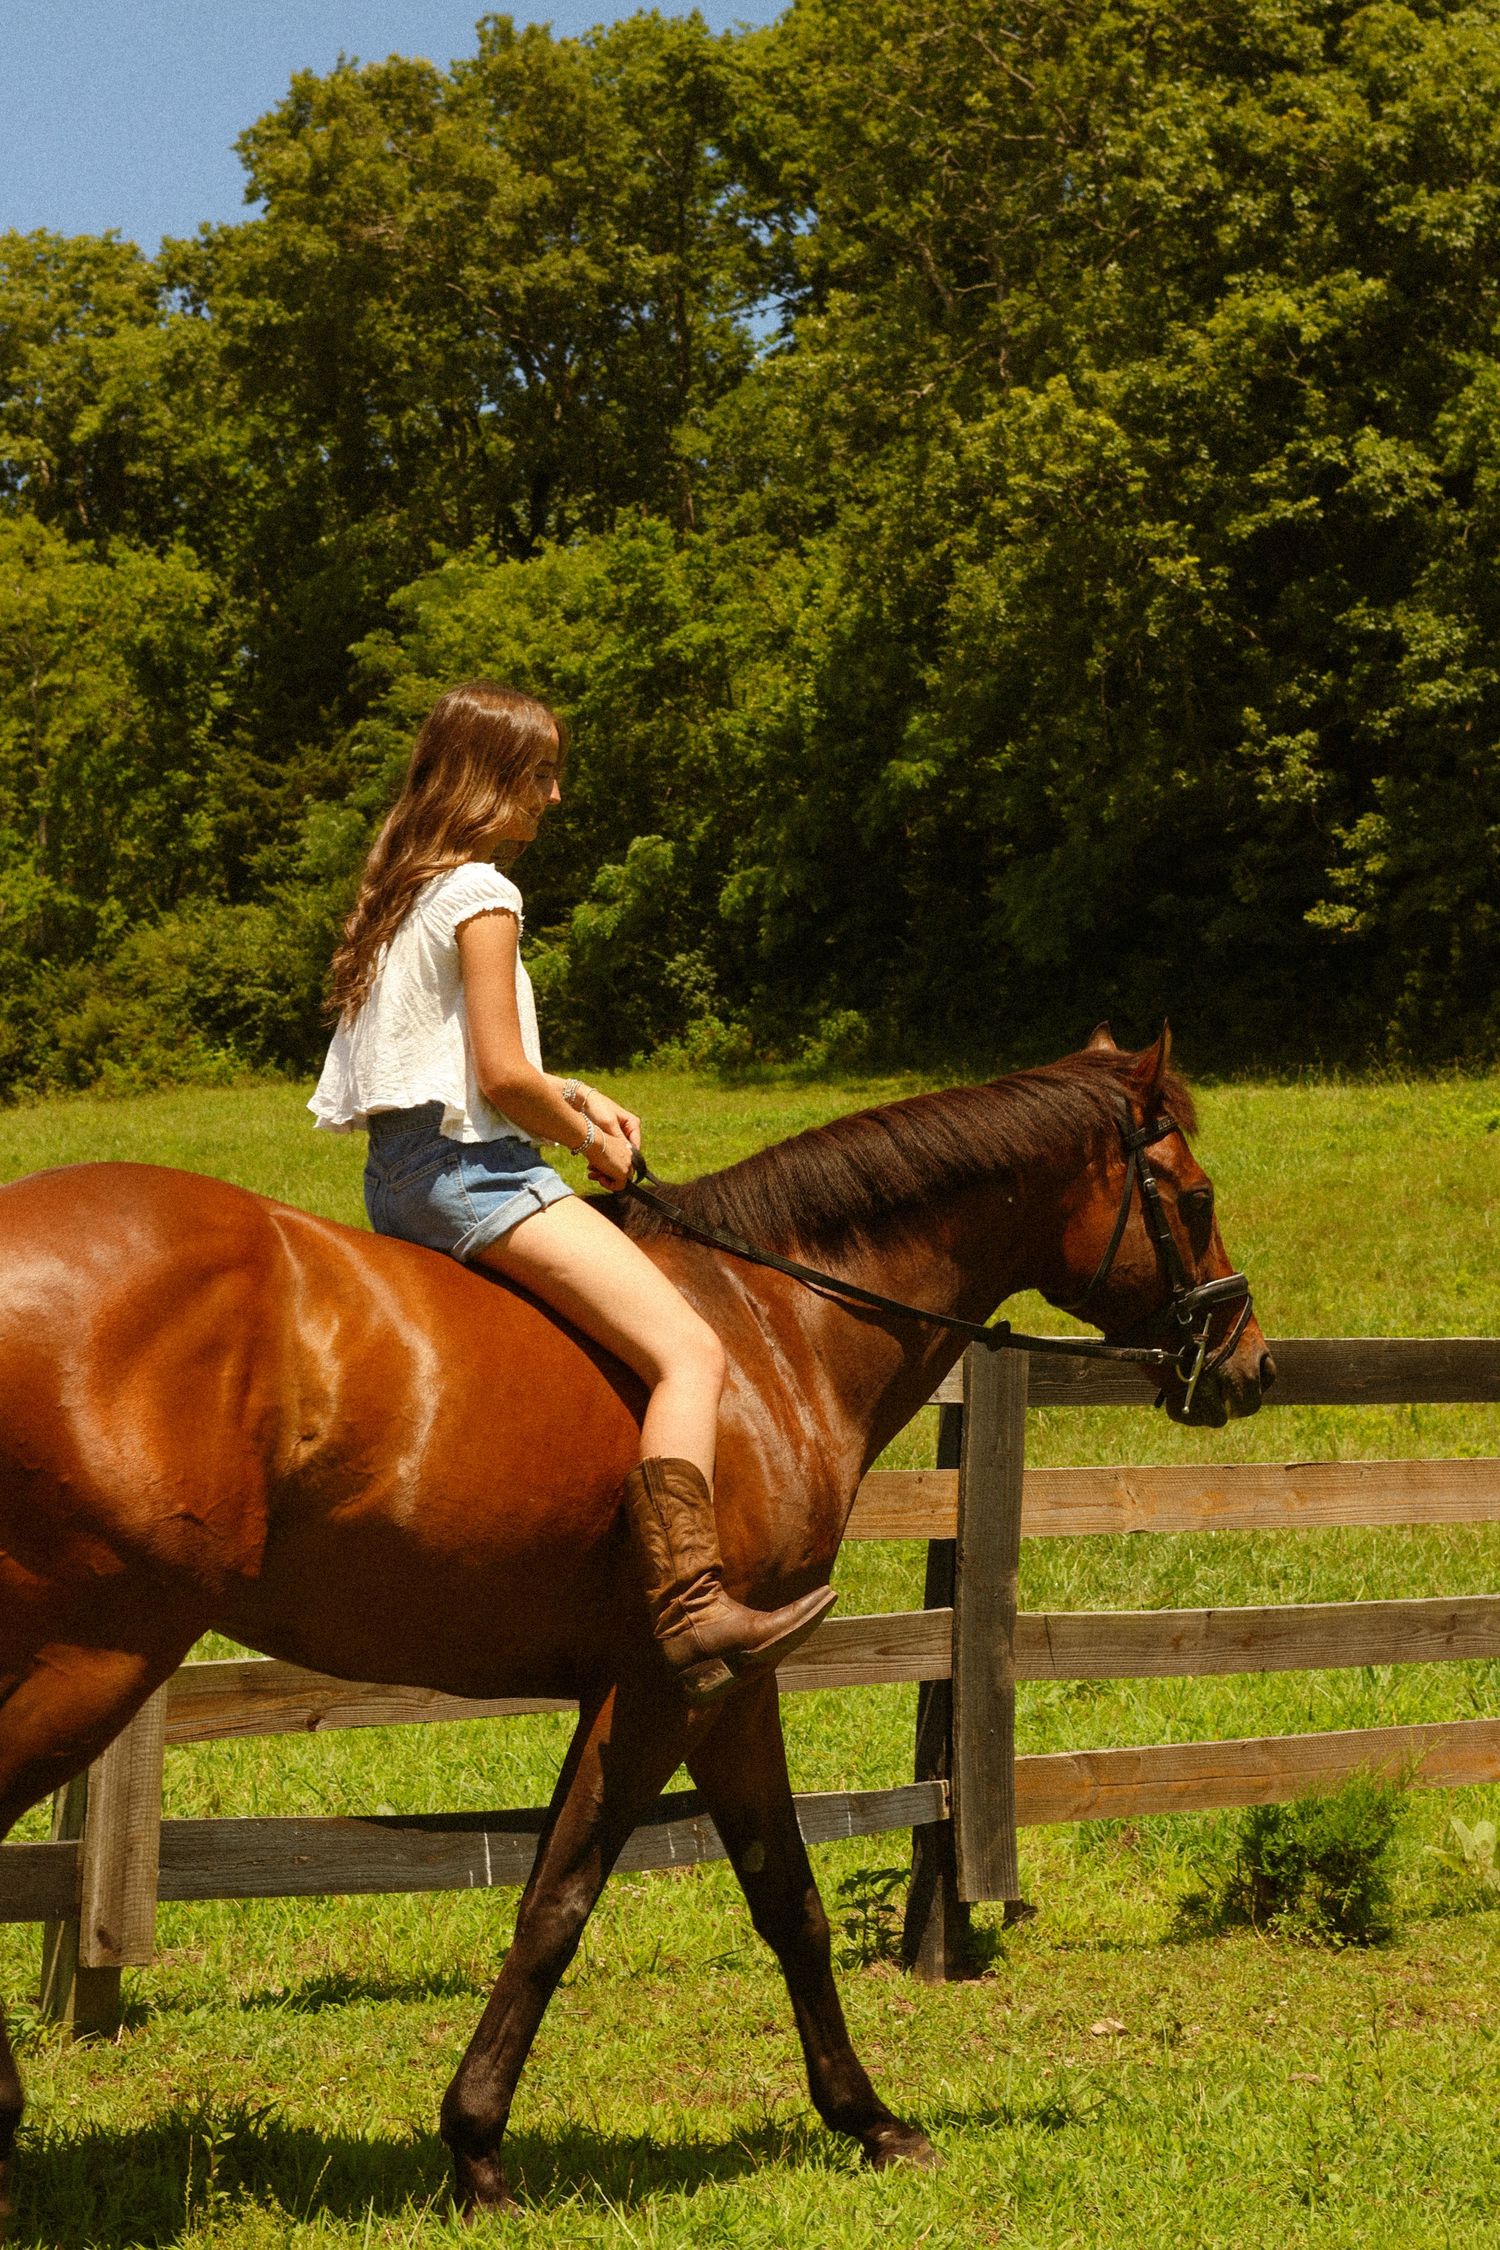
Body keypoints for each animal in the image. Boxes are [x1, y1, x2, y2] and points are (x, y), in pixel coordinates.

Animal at [0, 1025, 1271, 2217]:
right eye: (1195, 1195)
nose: (1249, 1367)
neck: (775, 1325)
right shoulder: (684, 1683)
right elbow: (570, 1902)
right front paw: (480, 2151)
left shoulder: (705, 1687)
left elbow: (780, 1898)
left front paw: (865, 2120)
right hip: (100, 1657)